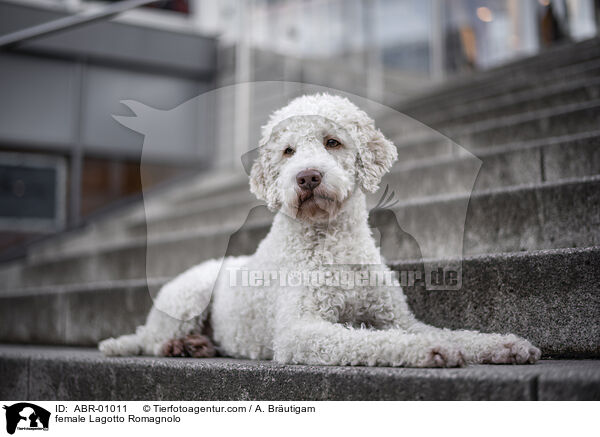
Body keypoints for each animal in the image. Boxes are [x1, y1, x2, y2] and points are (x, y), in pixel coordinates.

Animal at [98, 93, 540, 366]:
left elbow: (454, 333)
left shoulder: (396, 317)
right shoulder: (300, 331)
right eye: (287, 151)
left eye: (332, 142)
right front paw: (432, 348)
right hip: (189, 294)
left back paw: (196, 346)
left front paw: (503, 344)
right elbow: (368, 339)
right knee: (151, 340)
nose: (307, 177)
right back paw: (181, 344)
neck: (330, 242)